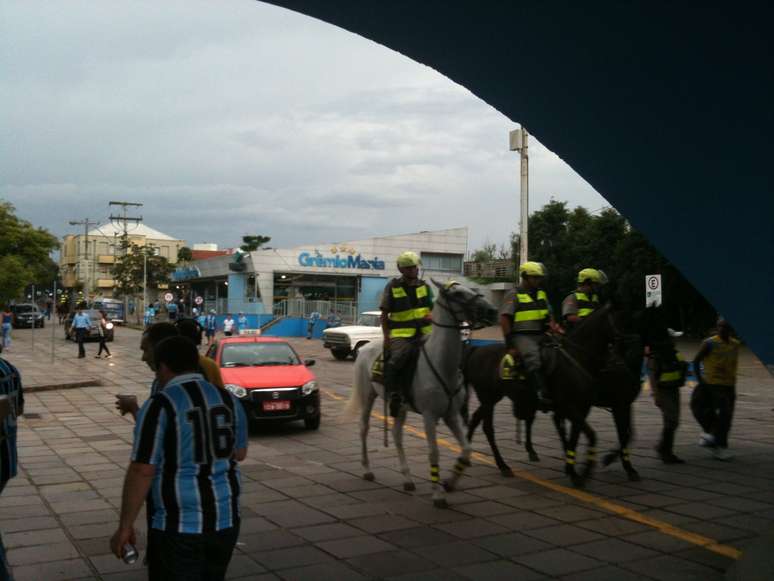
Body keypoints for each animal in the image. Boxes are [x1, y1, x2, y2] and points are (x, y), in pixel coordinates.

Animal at [346, 278, 498, 506]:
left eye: (471, 289)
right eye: (458, 294)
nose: (492, 311)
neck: (443, 364)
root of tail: (364, 349)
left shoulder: (451, 415)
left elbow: (466, 449)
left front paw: (450, 482)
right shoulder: (429, 416)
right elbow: (433, 453)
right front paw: (438, 494)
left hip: (399, 406)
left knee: (396, 434)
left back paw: (407, 478)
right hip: (367, 397)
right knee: (363, 428)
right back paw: (367, 470)